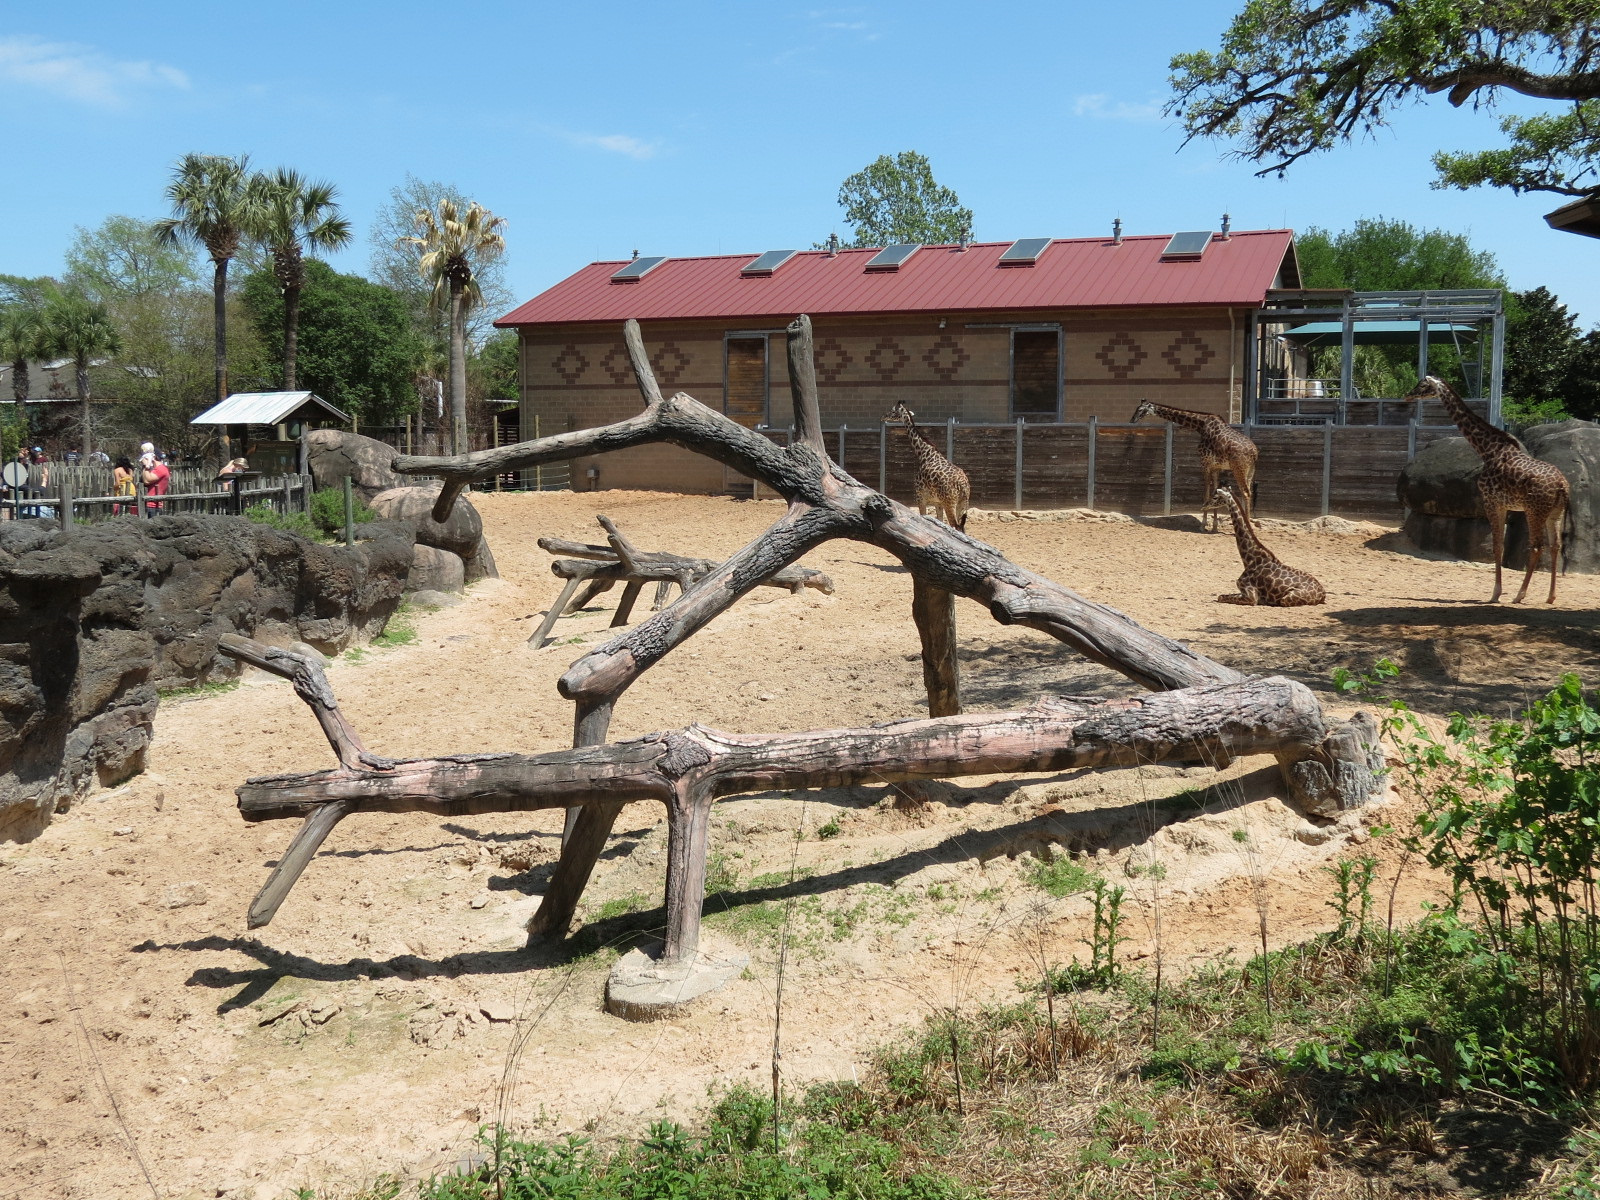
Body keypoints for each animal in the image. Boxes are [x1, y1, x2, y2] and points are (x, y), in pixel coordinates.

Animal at [884, 401, 970, 529]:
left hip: (950, 503)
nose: (883, 416)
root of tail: (963, 485)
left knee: (955, 525)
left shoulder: (920, 497)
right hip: (962, 504)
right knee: (961, 528)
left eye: (893, 411)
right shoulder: (937, 503)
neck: (924, 454)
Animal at [1130, 400, 1258, 532]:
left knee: (1246, 492)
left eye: (1140, 409)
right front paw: (1214, 526)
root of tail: (1254, 452)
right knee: (1249, 492)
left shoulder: (1205, 463)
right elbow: (1215, 491)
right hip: (1250, 471)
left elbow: (1206, 493)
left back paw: (1247, 525)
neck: (1201, 425)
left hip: (1239, 468)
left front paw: (1203, 525)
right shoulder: (1216, 467)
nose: (1132, 419)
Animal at [1405, 375, 1570, 604]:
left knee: (1537, 546)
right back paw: (1551, 596)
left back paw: (1519, 595)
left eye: (1422, 385)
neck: (1487, 450)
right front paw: (1497, 592)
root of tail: (1562, 485)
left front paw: (1495, 593)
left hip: (1534, 511)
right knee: (1556, 546)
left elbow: (1497, 546)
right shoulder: (1504, 505)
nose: (1407, 395)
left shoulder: (1492, 502)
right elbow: (1499, 545)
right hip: (1555, 512)